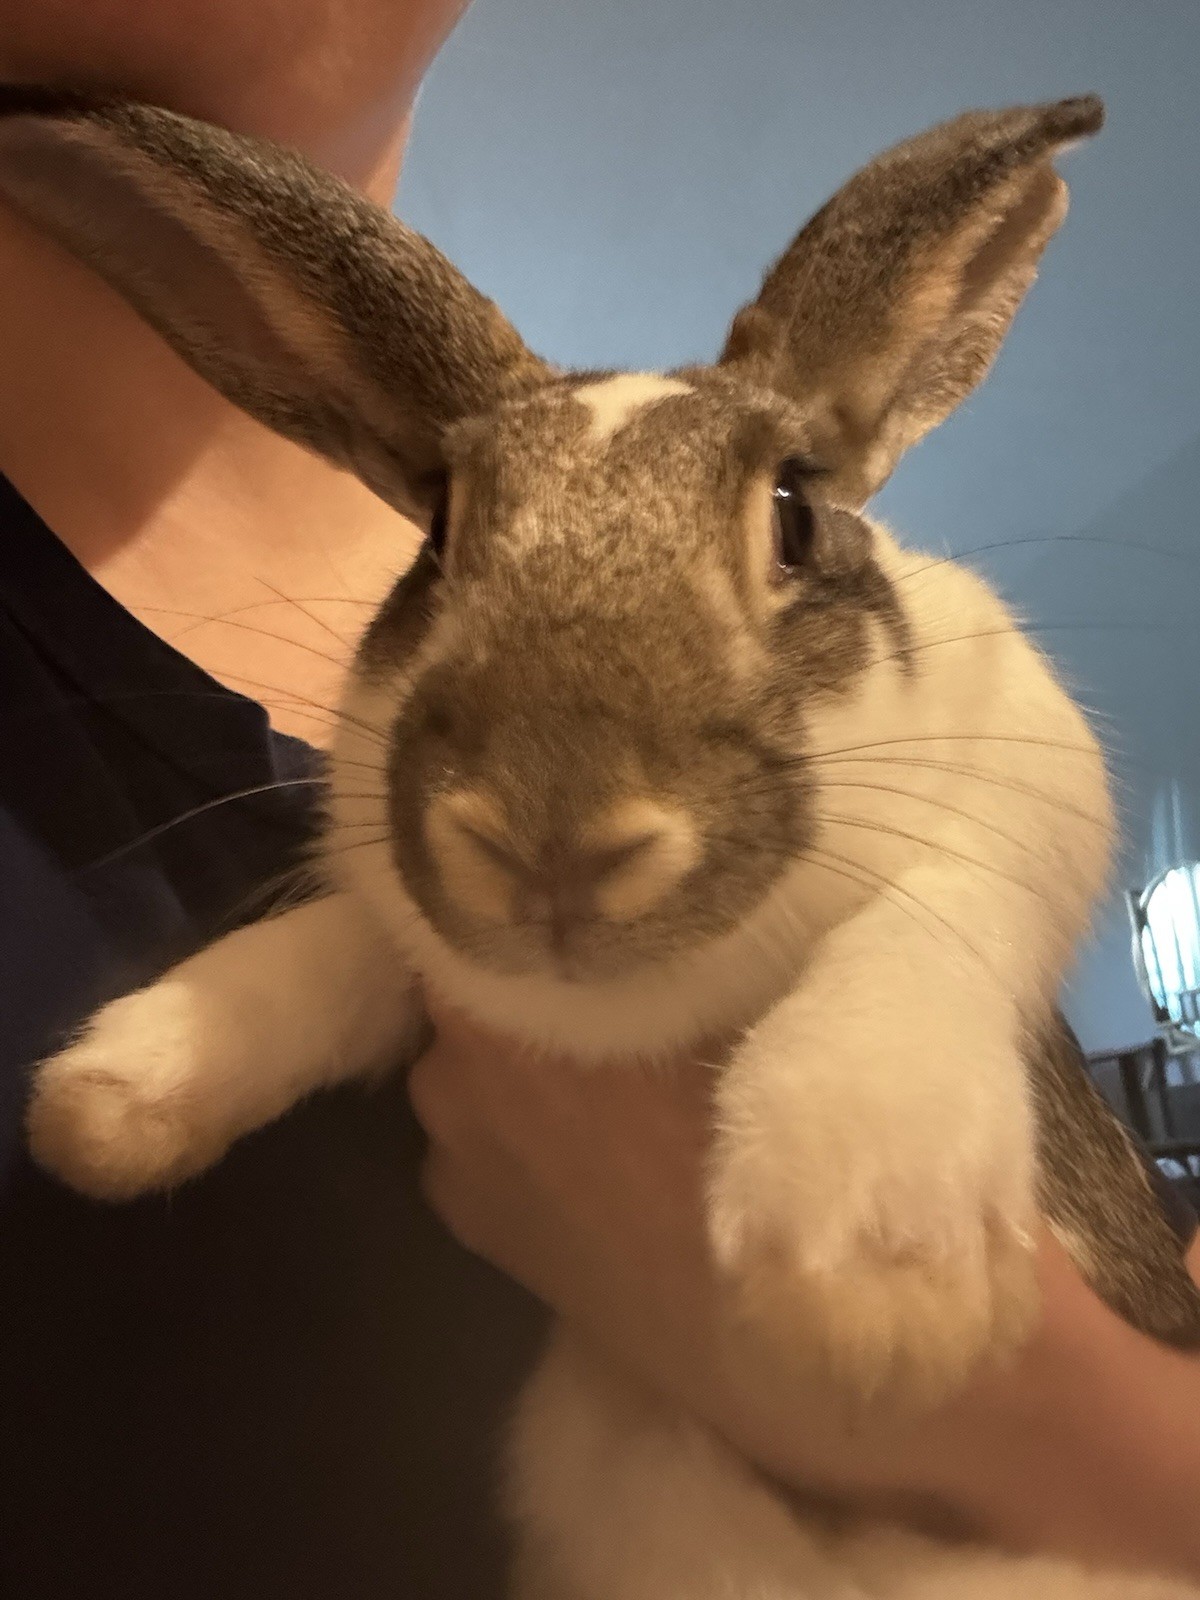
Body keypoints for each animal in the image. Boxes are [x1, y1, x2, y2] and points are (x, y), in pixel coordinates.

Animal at [3, 83, 1199, 1600]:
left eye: (795, 513)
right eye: (438, 532)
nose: (550, 837)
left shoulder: (1026, 766)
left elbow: (940, 916)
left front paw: (875, 1273)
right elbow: (351, 948)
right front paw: (119, 1097)